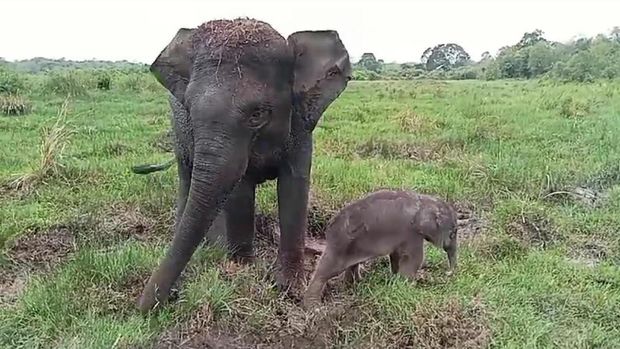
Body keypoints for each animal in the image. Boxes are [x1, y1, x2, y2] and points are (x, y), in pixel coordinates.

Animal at [137, 18, 352, 312]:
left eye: (257, 115)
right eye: (190, 110)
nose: (145, 308)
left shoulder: (301, 120)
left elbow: (294, 185)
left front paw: (289, 288)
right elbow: (240, 189)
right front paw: (242, 271)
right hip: (177, 132)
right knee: (187, 176)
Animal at [302, 189, 458, 306]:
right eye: (453, 233)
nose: (448, 273)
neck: (424, 200)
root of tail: (329, 227)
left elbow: (396, 256)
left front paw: (396, 280)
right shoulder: (411, 233)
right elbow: (414, 259)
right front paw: (408, 285)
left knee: (352, 265)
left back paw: (354, 285)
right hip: (340, 245)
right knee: (327, 270)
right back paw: (313, 306)